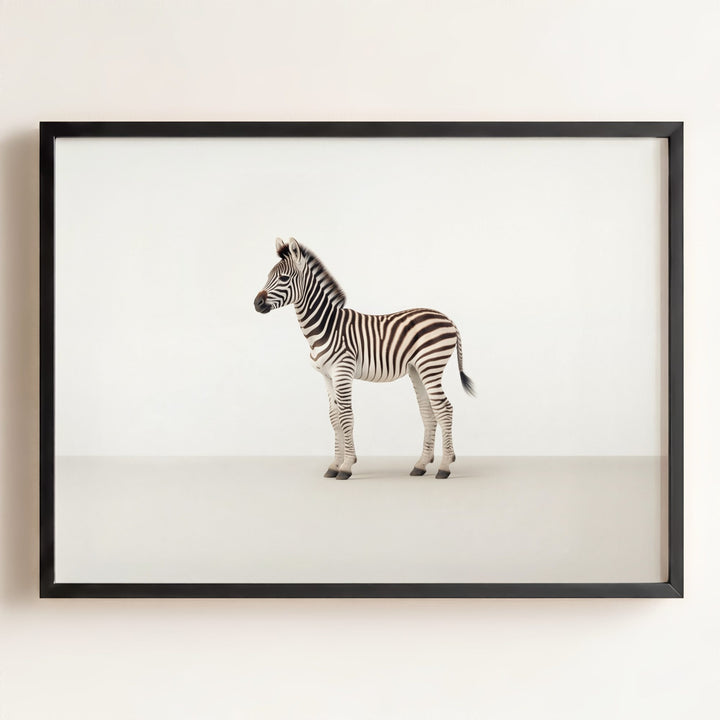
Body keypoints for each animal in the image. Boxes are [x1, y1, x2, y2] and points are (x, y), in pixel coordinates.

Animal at [254, 237, 475, 480]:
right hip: (417, 369)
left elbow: (346, 416)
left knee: (444, 409)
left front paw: (347, 466)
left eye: (284, 278)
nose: (256, 303)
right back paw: (421, 464)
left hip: (431, 364)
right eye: (268, 276)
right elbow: (334, 417)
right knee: (428, 410)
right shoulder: (326, 376)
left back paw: (445, 466)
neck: (325, 326)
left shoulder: (342, 370)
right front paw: (334, 465)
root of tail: (448, 319)